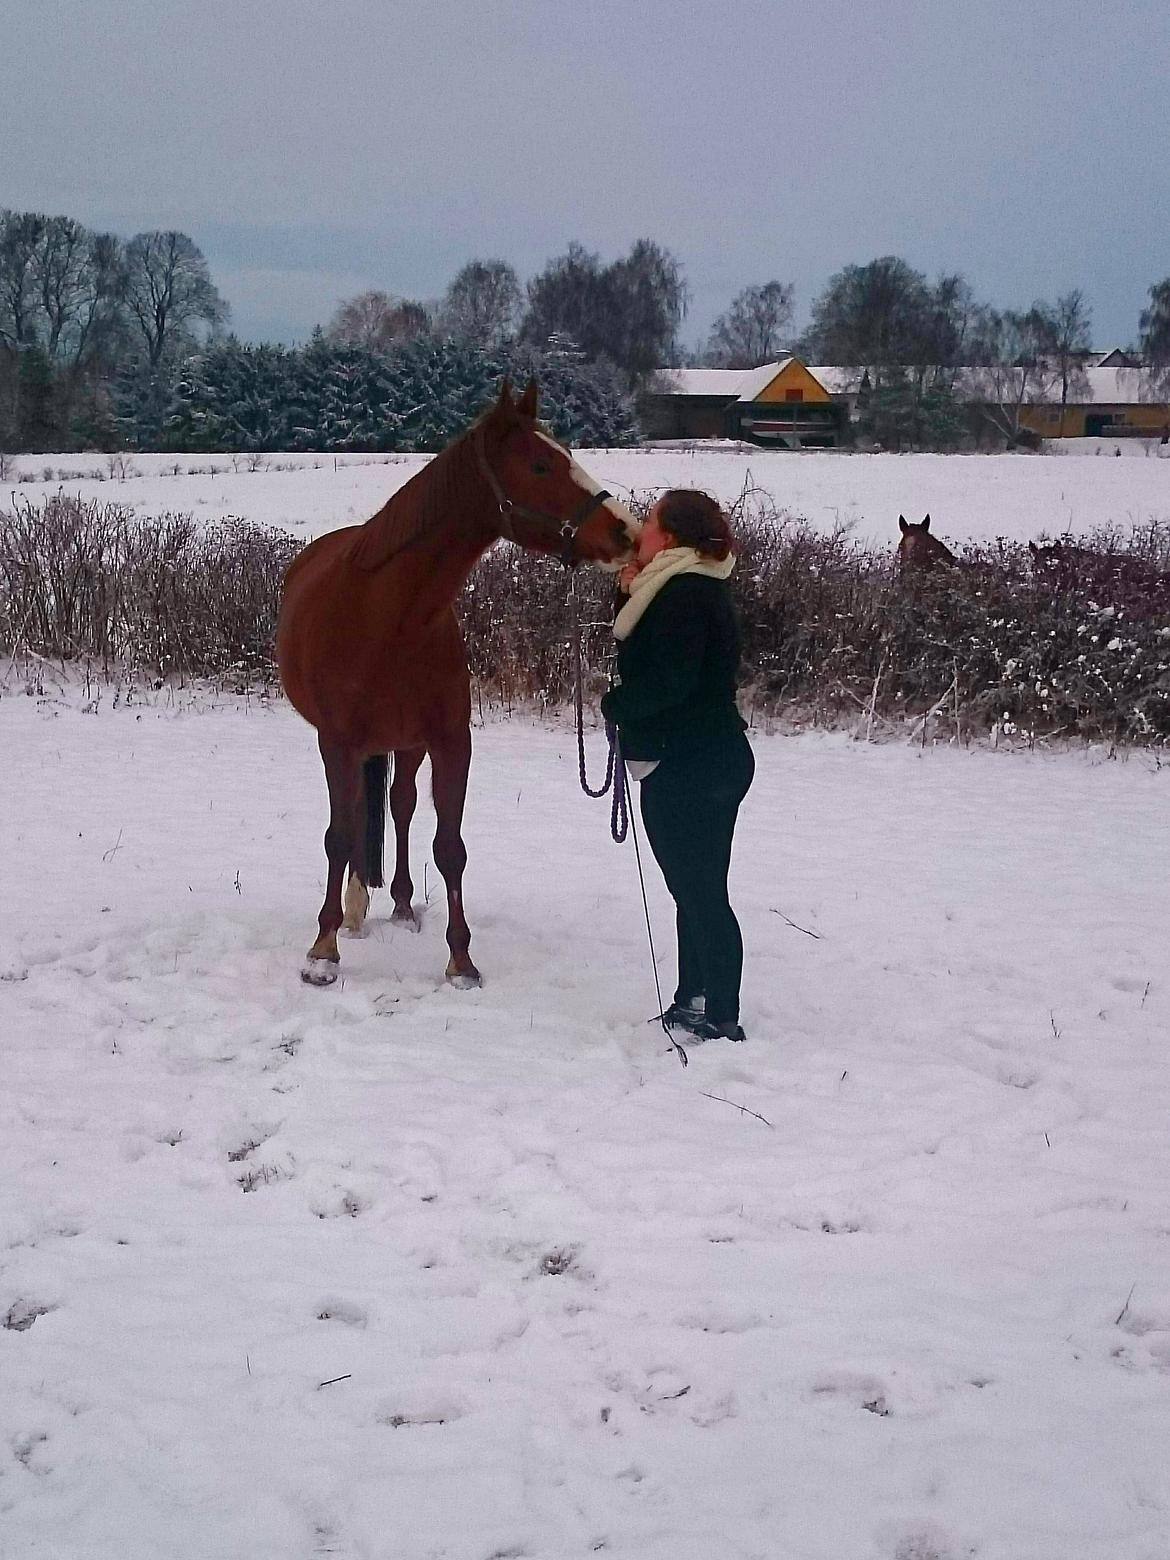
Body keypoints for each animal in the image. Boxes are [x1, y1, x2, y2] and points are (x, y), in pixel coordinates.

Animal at [276, 380, 636, 985]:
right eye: (540, 465)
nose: (626, 532)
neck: (389, 617)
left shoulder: (449, 742)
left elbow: (450, 848)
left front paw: (461, 959)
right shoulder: (338, 743)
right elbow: (339, 835)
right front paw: (323, 950)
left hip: (407, 743)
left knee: (398, 805)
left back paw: (397, 903)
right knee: (361, 816)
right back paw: (353, 911)